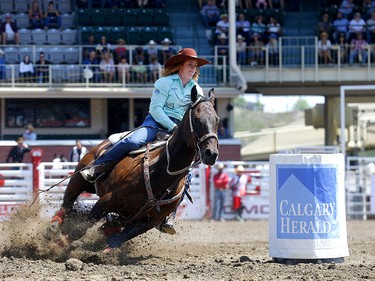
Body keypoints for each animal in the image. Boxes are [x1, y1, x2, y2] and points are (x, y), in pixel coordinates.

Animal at [49, 86, 220, 248]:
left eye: (217, 120)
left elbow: (115, 240)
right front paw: (55, 248)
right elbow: (80, 230)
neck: (159, 171)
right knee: (68, 202)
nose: (211, 153)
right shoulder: (107, 200)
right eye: (196, 119)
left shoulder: (147, 222)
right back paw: (53, 225)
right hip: (80, 178)